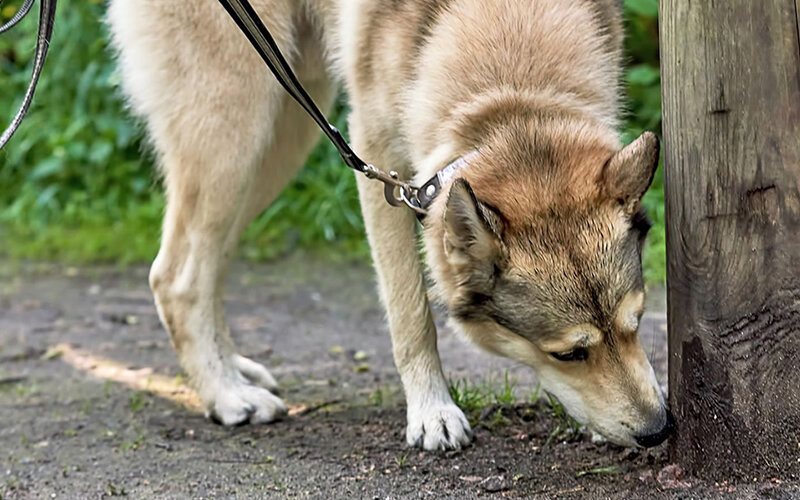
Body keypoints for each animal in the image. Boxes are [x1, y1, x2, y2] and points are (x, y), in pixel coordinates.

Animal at [104, 0, 668, 452]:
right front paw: (433, 413)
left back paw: (232, 369)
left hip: (285, 126)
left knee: (208, 265)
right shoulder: (380, 166)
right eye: (569, 353)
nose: (661, 430)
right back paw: (226, 395)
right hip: (236, 128)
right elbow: (410, 315)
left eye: (637, 323)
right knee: (175, 277)